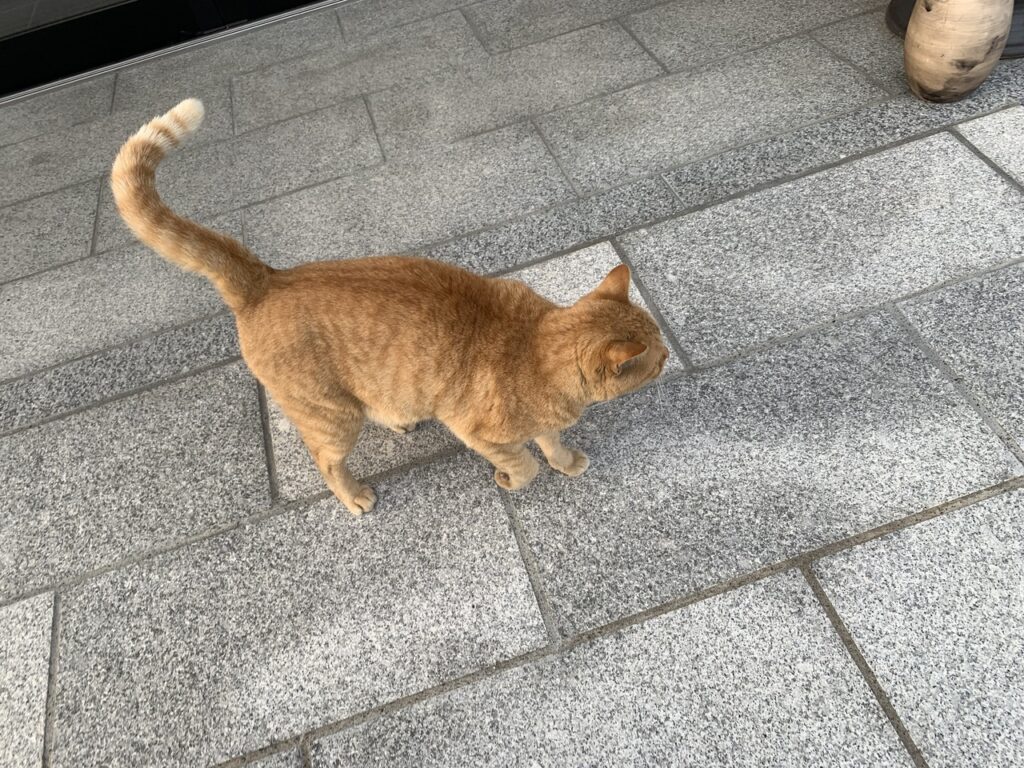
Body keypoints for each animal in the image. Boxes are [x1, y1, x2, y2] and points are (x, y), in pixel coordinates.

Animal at [111, 98, 669, 514]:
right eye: (659, 360)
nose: (667, 358)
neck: (537, 343)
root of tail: (267, 277)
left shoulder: (539, 420)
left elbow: (549, 444)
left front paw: (566, 461)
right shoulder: (479, 432)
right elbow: (525, 463)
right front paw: (513, 479)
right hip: (331, 417)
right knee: (326, 460)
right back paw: (354, 496)